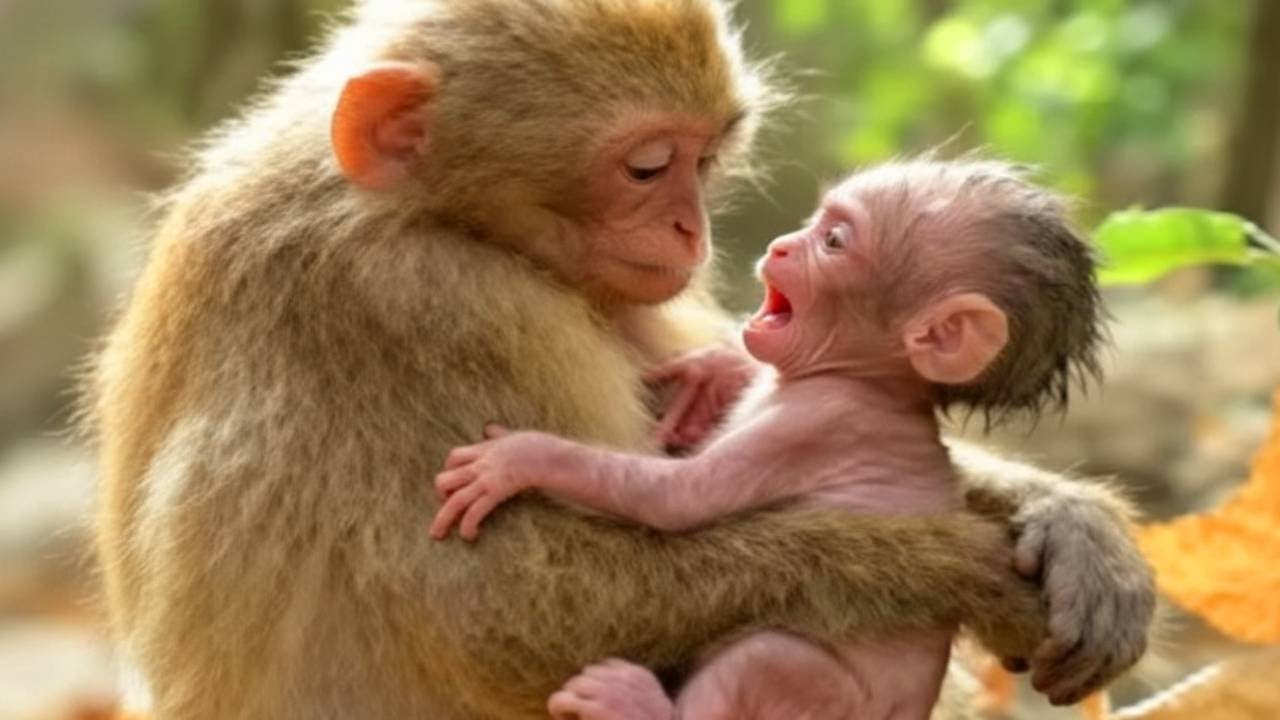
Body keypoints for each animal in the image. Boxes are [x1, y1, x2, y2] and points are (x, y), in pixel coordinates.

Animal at [429, 159, 1109, 720]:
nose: (782, 245)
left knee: (765, 658)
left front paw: (516, 458)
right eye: (818, 225)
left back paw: (636, 704)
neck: (863, 379)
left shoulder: (813, 423)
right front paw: (710, 374)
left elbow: (675, 499)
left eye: (834, 242)